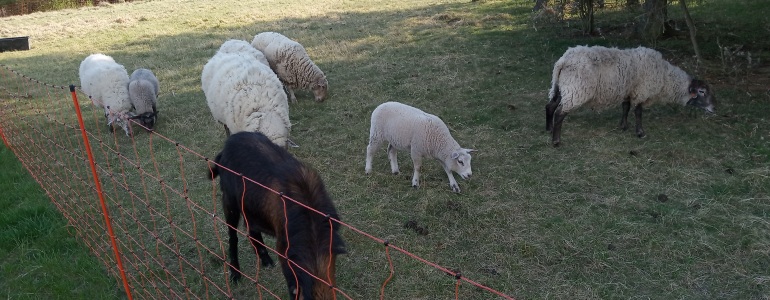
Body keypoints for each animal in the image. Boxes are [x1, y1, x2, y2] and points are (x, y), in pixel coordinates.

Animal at [207, 131, 344, 300]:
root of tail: (226, 146)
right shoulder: (285, 253)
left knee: (251, 228)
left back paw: (265, 260)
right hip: (229, 200)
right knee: (233, 236)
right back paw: (235, 274)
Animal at [540, 45, 712, 146]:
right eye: (702, 92)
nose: (713, 108)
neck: (665, 77)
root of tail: (563, 61)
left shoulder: (629, 90)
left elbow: (626, 107)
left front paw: (623, 126)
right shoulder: (642, 91)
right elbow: (638, 112)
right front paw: (640, 133)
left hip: (563, 87)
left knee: (550, 105)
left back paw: (549, 128)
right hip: (576, 89)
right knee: (560, 113)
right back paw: (556, 141)